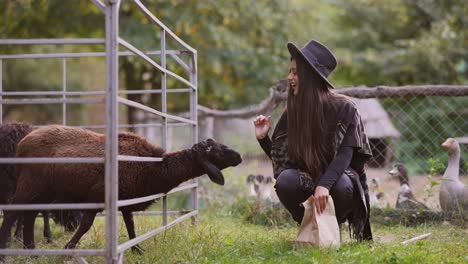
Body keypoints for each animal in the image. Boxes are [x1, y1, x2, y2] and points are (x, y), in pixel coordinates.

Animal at [0, 126, 241, 256]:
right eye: (217, 151)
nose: (239, 156)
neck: (154, 167)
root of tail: (22, 143)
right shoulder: (98, 196)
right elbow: (86, 225)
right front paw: (69, 248)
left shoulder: (126, 199)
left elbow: (131, 226)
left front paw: (137, 250)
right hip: (29, 184)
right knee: (13, 212)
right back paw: (9, 248)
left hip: (44, 191)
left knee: (29, 214)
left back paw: (31, 250)